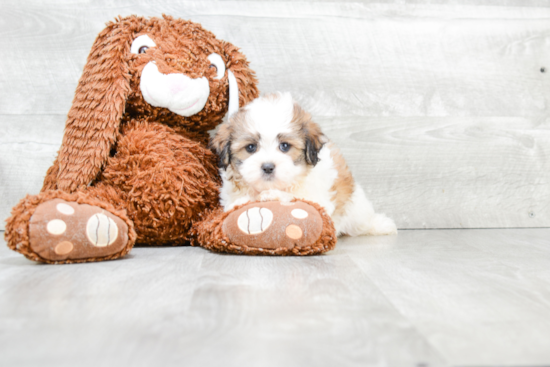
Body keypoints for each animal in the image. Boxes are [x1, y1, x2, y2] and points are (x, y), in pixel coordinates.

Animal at [211, 92, 396, 236]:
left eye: (285, 146)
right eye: (251, 147)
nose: (268, 167)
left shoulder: (316, 197)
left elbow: (296, 200)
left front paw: (272, 195)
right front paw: (242, 202)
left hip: (356, 209)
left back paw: (381, 225)